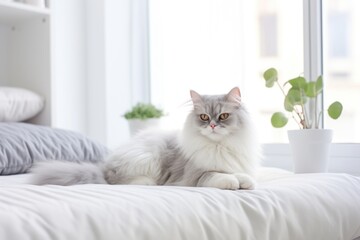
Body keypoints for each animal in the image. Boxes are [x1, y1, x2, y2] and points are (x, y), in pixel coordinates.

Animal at [31, 87, 260, 190]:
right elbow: (219, 176)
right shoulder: (196, 175)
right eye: (204, 117)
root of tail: (102, 167)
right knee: (117, 181)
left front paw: (245, 182)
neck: (219, 146)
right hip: (148, 156)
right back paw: (148, 183)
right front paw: (232, 183)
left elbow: (243, 176)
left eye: (223, 116)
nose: (212, 125)